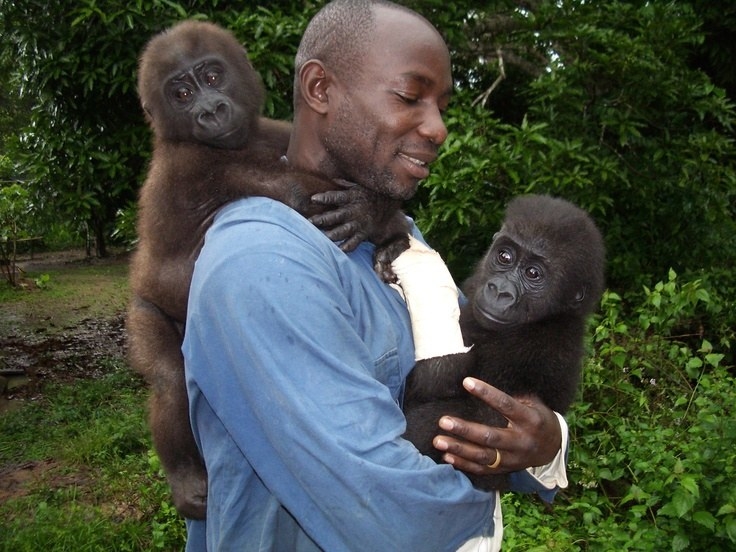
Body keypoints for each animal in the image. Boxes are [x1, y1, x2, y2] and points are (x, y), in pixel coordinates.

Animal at [402, 196, 604, 490]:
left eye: (533, 274)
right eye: (505, 257)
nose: (500, 291)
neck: (555, 315)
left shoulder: (534, 347)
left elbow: (437, 377)